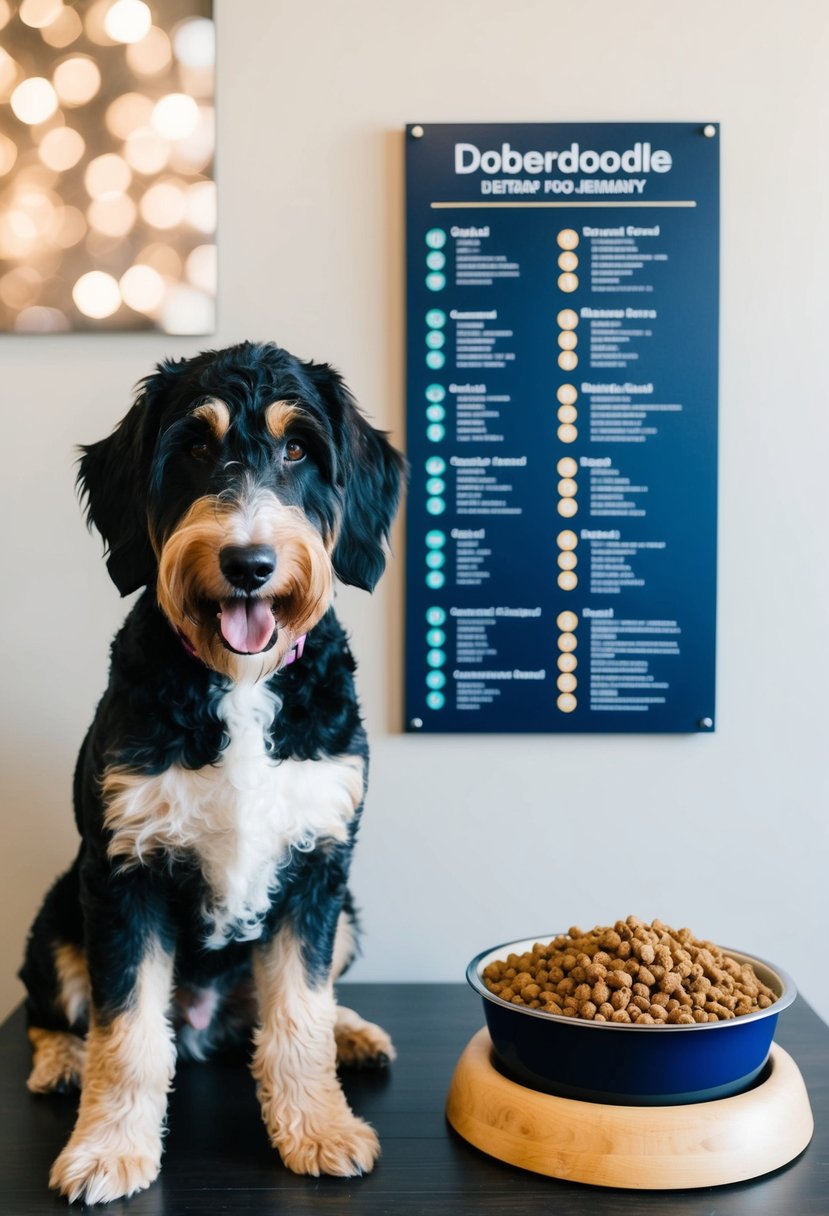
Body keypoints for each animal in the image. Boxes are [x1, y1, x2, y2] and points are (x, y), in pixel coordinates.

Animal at [17, 338, 405, 1201]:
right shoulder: (122, 874)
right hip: (60, 910)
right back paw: (62, 1061)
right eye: (194, 447)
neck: (239, 682)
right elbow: (126, 1032)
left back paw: (354, 1032)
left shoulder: (319, 868)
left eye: (298, 450)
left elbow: (299, 1016)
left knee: (288, 1010)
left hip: (350, 913)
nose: (248, 563)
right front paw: (108, 1149)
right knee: (53, 1009)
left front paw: (318, 1129)